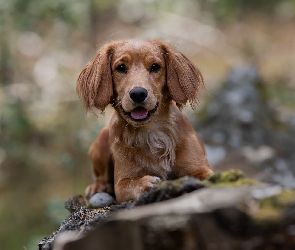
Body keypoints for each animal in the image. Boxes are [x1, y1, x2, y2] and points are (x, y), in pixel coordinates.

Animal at [77, 39, 213, 203]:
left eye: (155, 67)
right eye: (121, 67)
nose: (138, 93)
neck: (151, 132)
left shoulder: (199, 168)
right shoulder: (122, 182)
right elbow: (130, 184)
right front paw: (146, 183)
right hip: (101, 140)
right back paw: (98, 187)